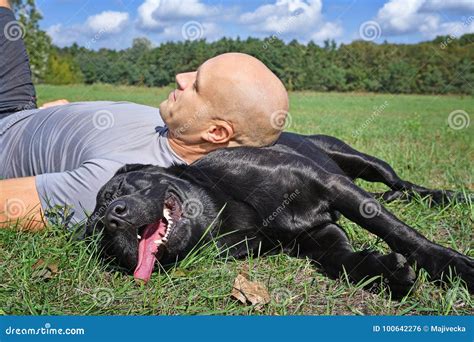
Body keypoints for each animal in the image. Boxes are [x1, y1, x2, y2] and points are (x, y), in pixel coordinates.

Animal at [86, 133, 474, 296]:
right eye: (101, 236)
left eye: (116, 192)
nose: (112, 219)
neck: (229, 209)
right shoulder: (320, 237)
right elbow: (346, 262)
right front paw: (384, 271)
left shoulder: (334, 186)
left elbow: (399, 232)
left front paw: (455, 267)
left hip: (363, 162)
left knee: (404, 184)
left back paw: (450, 196)